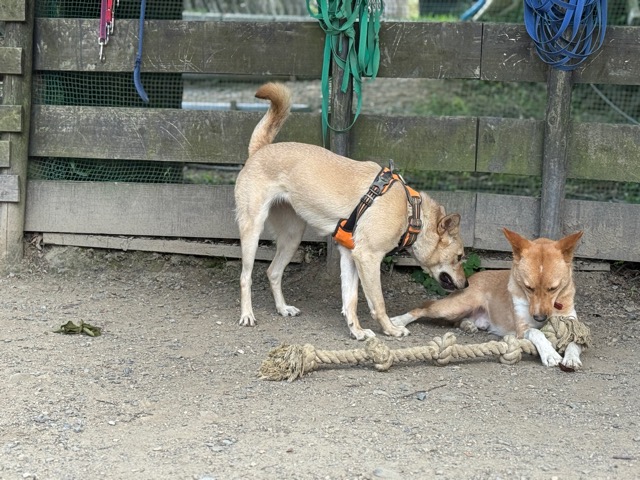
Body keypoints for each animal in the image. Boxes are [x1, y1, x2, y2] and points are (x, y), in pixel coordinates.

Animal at [234, 82, 468, 340]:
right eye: (459, 257)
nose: (467, 285)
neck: (409, 211)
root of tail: (260, 150)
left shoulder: (349, 255)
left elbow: (351, 300)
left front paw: (356, 331)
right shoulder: (368, 257)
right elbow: (378, 302)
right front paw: (390, 329)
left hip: (292, 237)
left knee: (273, 272)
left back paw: (283, 308)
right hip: (252, 229)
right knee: (245, 277)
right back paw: (247, 315)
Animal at [391, 228, 585, 368]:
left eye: (554, 288)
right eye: (528, 287)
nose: (539, 317)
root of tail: (472, 278)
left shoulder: (573, 323)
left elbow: (575, 341)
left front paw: (571, 357)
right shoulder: (522, 329)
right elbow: (537, 332)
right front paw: (550, 354)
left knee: (459, 321)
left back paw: (468, 325)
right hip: (453, 307)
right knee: (423, 308)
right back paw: (398, 321)